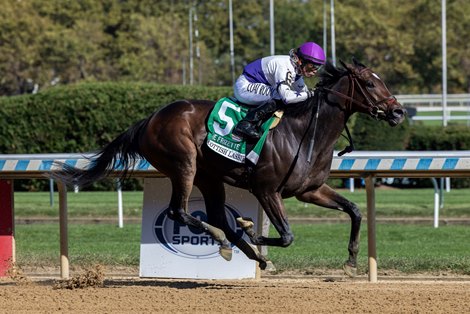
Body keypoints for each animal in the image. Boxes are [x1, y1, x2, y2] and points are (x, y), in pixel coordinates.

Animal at [54, 59, 404, 278]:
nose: (398, 112)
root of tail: (149, 119)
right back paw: (230, 240)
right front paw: (251, 228)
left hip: (210, 177)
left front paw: (350, 261)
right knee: (180, 211)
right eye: (370, 83)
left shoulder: (310, 190)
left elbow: (354, 211)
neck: (305, 131)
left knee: (216, 215)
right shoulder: (267, 190)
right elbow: (286, 235)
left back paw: (245, 251)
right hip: (184, 164)